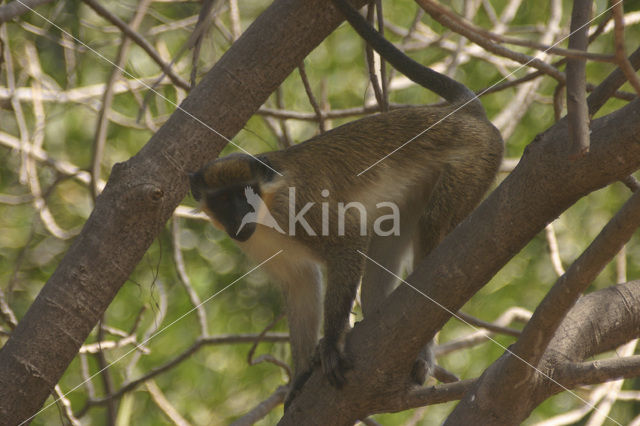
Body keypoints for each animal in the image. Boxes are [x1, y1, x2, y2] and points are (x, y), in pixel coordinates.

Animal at [188, 0, 502, 402]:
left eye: (245, 195)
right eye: (223, 200)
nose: (238, 217)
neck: (267, 207)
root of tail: (459, 114)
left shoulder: (296, 205)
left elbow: (348, 243)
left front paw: (332, 344)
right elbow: (301, 283)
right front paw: (300, 376)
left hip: (474, 161)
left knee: (434, 234)